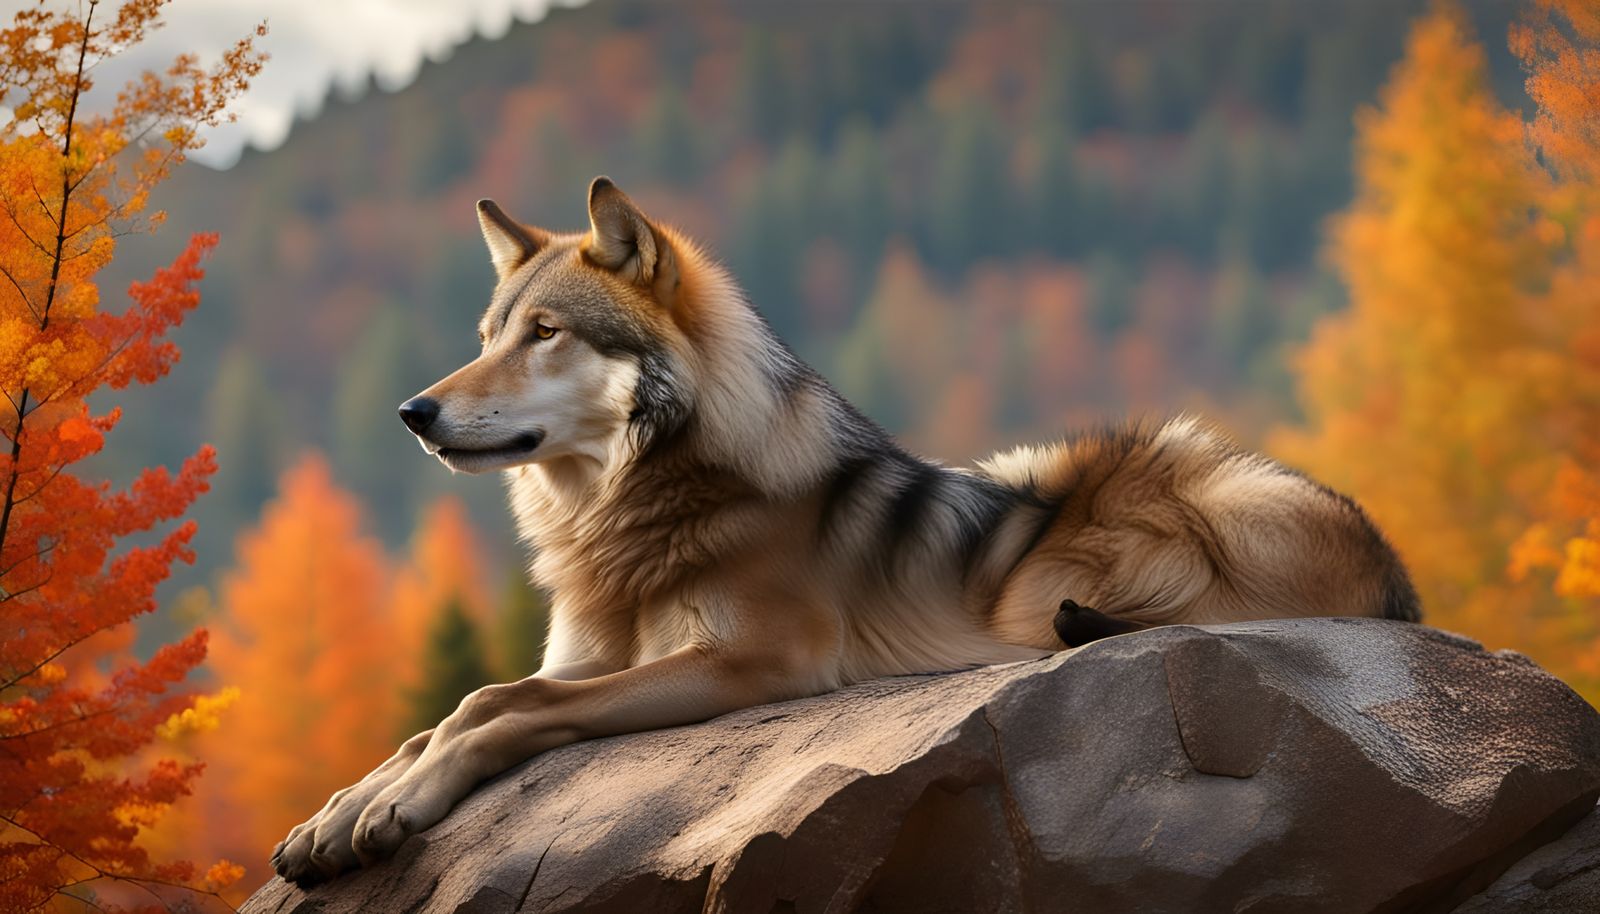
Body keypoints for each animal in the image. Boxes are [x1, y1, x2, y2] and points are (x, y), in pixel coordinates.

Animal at [272, 177, 1419, 884]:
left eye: (544, 333)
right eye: (488, 335)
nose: (413, 411)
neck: (629, 511)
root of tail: (1393, 576)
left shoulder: (753, 659)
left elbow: (501, 703)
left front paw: (396, 807)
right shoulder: (597, 654)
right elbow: (439, 717)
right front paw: (335, 814)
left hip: (1079, 523)